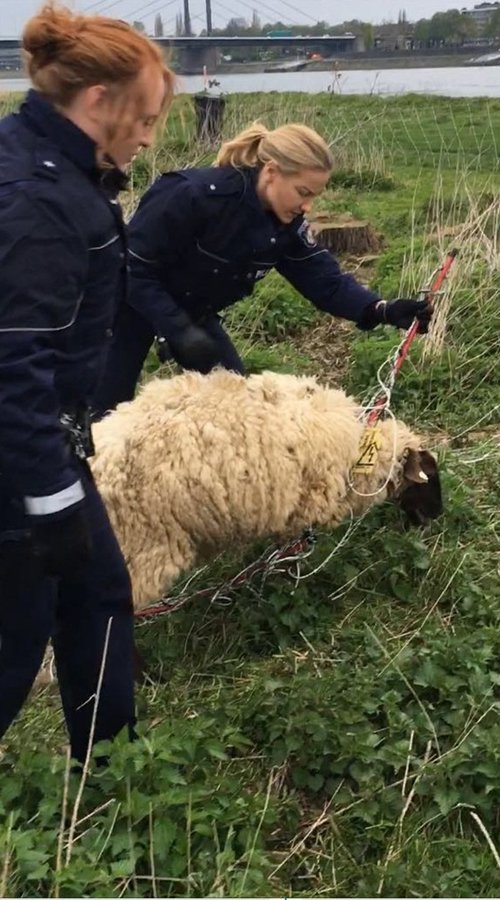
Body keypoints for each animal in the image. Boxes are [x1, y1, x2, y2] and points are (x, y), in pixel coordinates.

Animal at [91, 368, 442, 612]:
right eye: (429, 477)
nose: (438, 515)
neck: (358, 454)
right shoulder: (298, 507)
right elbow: (289, 550)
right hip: (140, 557)